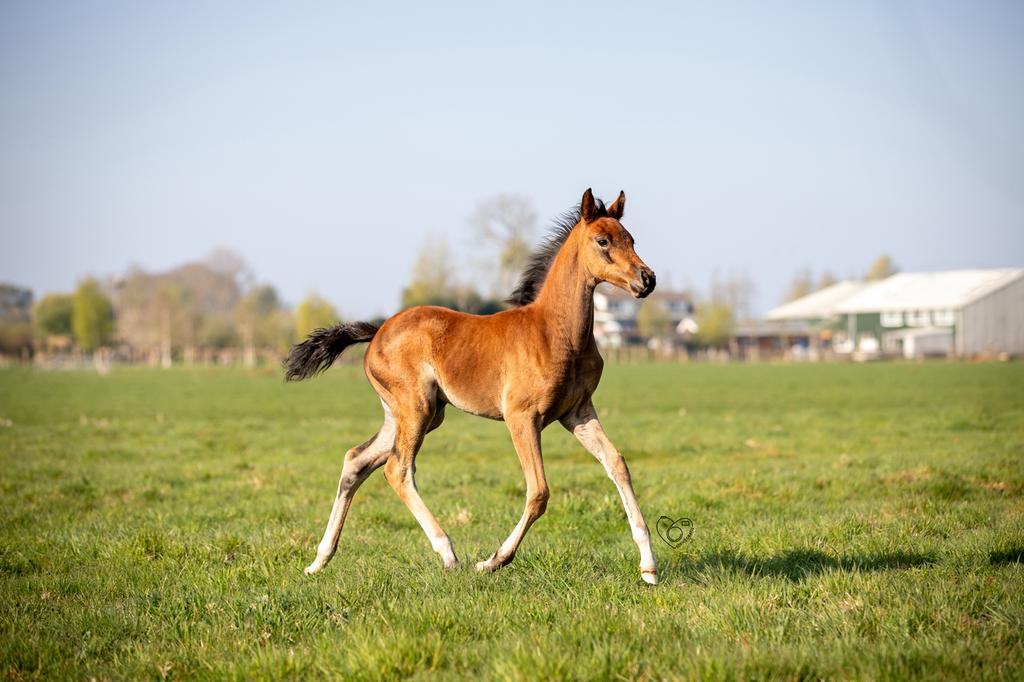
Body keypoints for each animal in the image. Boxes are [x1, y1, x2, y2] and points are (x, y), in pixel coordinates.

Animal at [285, 188, 660, 584]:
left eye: (631, 239)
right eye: (603, 241)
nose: (647, 279)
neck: (555, 331)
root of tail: (378, 331)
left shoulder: (578, 412)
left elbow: (617, 464)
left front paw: (648, 566)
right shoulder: (522, 417)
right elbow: (538, 491)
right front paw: (493, 560)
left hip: (415, 414)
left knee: (357, 460)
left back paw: (319, 559)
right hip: (416, 408)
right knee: (397, 469)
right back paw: (448, 554)